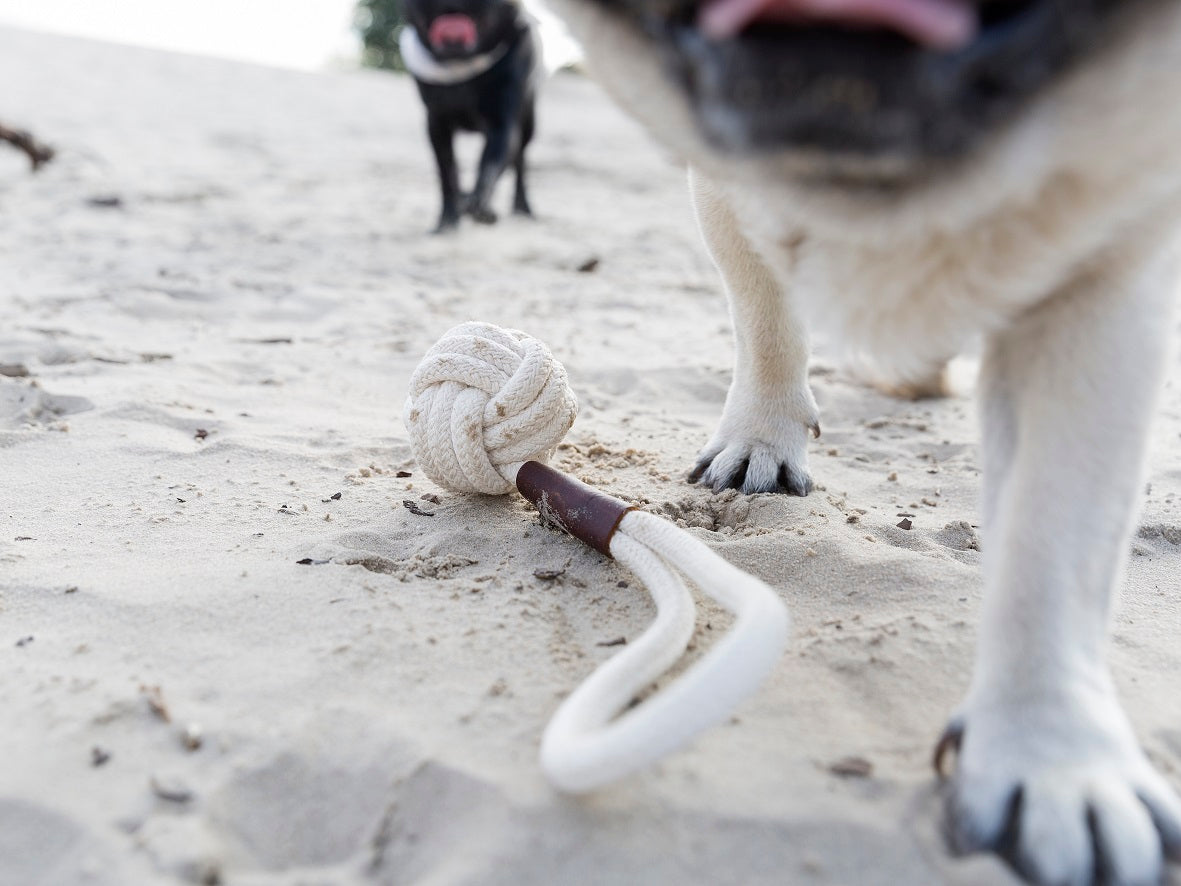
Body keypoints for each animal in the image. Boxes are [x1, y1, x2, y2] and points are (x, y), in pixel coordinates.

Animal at [401, 0, 540, 232]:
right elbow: (448, 175)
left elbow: (489, 167)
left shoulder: (503, 128)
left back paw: (522, 208)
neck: (462, 65)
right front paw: (448, 221)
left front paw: (479, 206)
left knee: (519, 164)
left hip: (528, 127)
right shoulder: (437, 125)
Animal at [540, 0, 1181, 883]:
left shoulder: (1103, 272)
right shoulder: (726, 189)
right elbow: (765, 310)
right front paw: (762, 438)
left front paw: (1055, 758)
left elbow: (1054, 536)